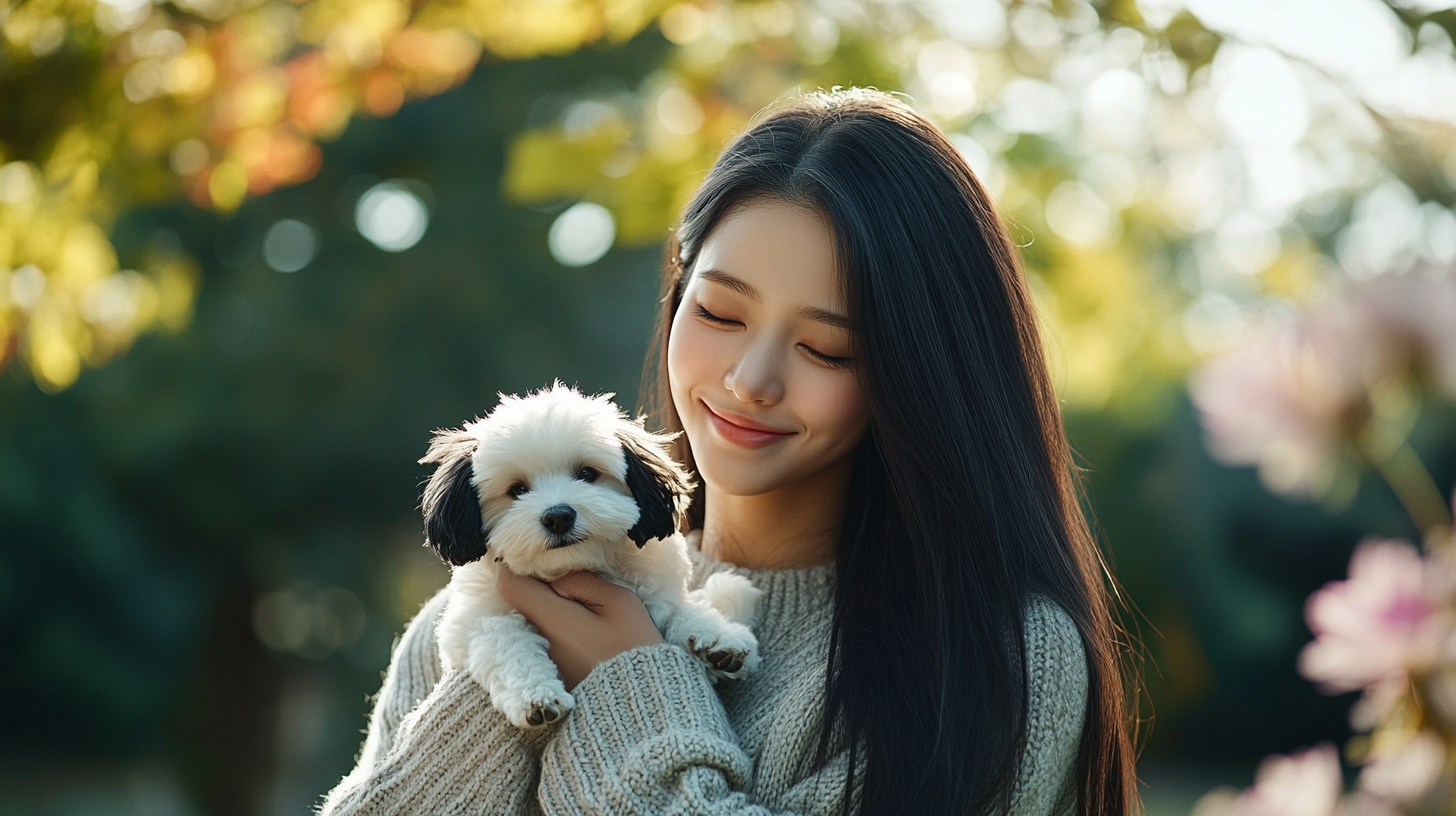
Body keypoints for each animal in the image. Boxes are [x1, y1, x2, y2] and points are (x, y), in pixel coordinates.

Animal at [419, 381, 762, 725]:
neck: (576, 566)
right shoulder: (472, 621)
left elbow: (678, 609)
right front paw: (535, 695)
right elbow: (503, 640)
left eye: (587, 474)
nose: (558, 516)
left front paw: (716, 636)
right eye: (517, 490)